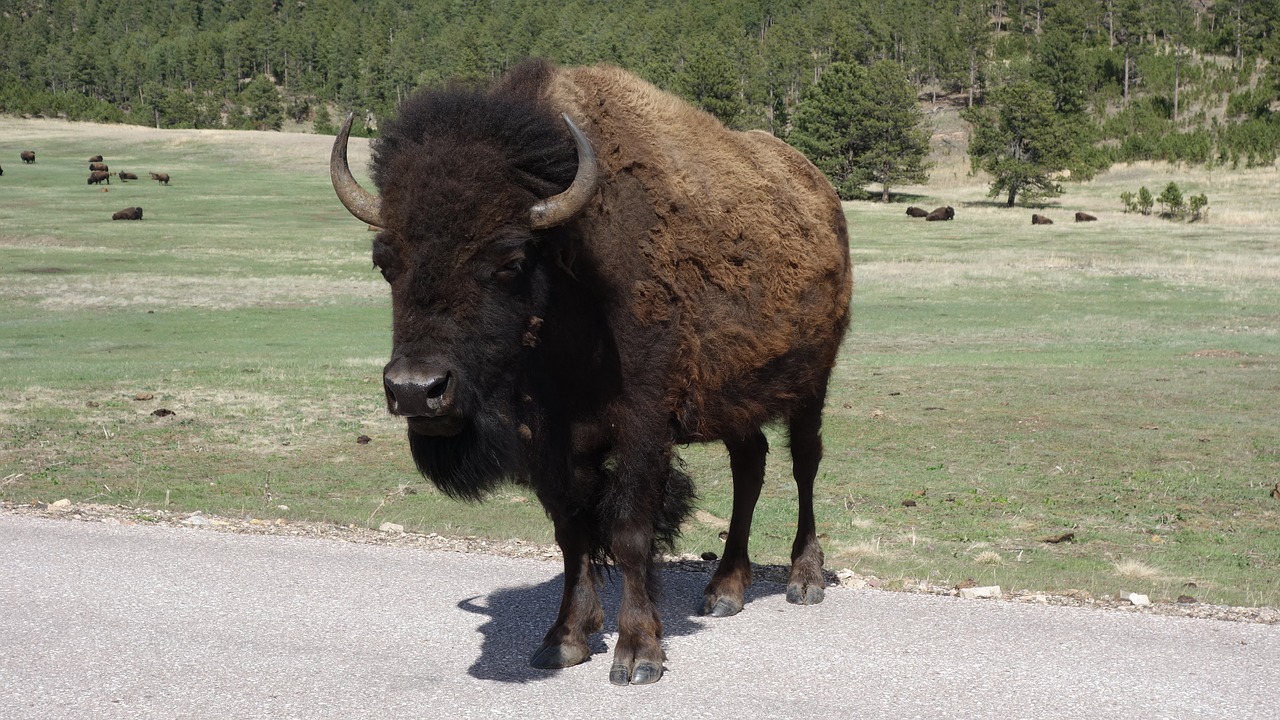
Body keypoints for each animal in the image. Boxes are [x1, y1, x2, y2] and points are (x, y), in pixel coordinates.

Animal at [330, 58, 855, 681]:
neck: (572, 269)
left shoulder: (643, 425)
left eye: (510, 261)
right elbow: (571, 533)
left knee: (804, 464)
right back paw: (724, 591)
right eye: (385, 262)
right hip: (734, 401)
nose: (416, 391)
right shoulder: (552, 441)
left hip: (810, 385)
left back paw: (804, 579)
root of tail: (823, 196)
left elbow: (629, 532)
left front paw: (638, 655)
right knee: (749, 467)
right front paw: (564, 640)